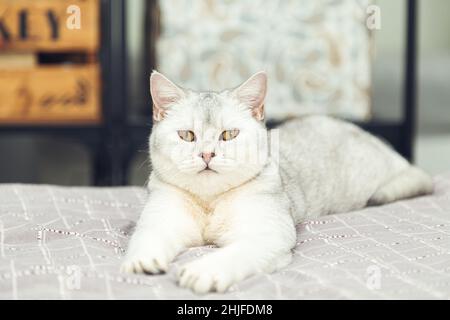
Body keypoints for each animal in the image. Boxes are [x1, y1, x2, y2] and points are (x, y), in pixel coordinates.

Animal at [120, 71, 432, 294]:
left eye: (228, 134)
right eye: (187, 135)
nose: (207, 154)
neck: (211, 202)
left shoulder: (267, 234)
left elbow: (235, 254)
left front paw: (204, 270)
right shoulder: (161, 219)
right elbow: (148, 237)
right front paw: (142, 260)